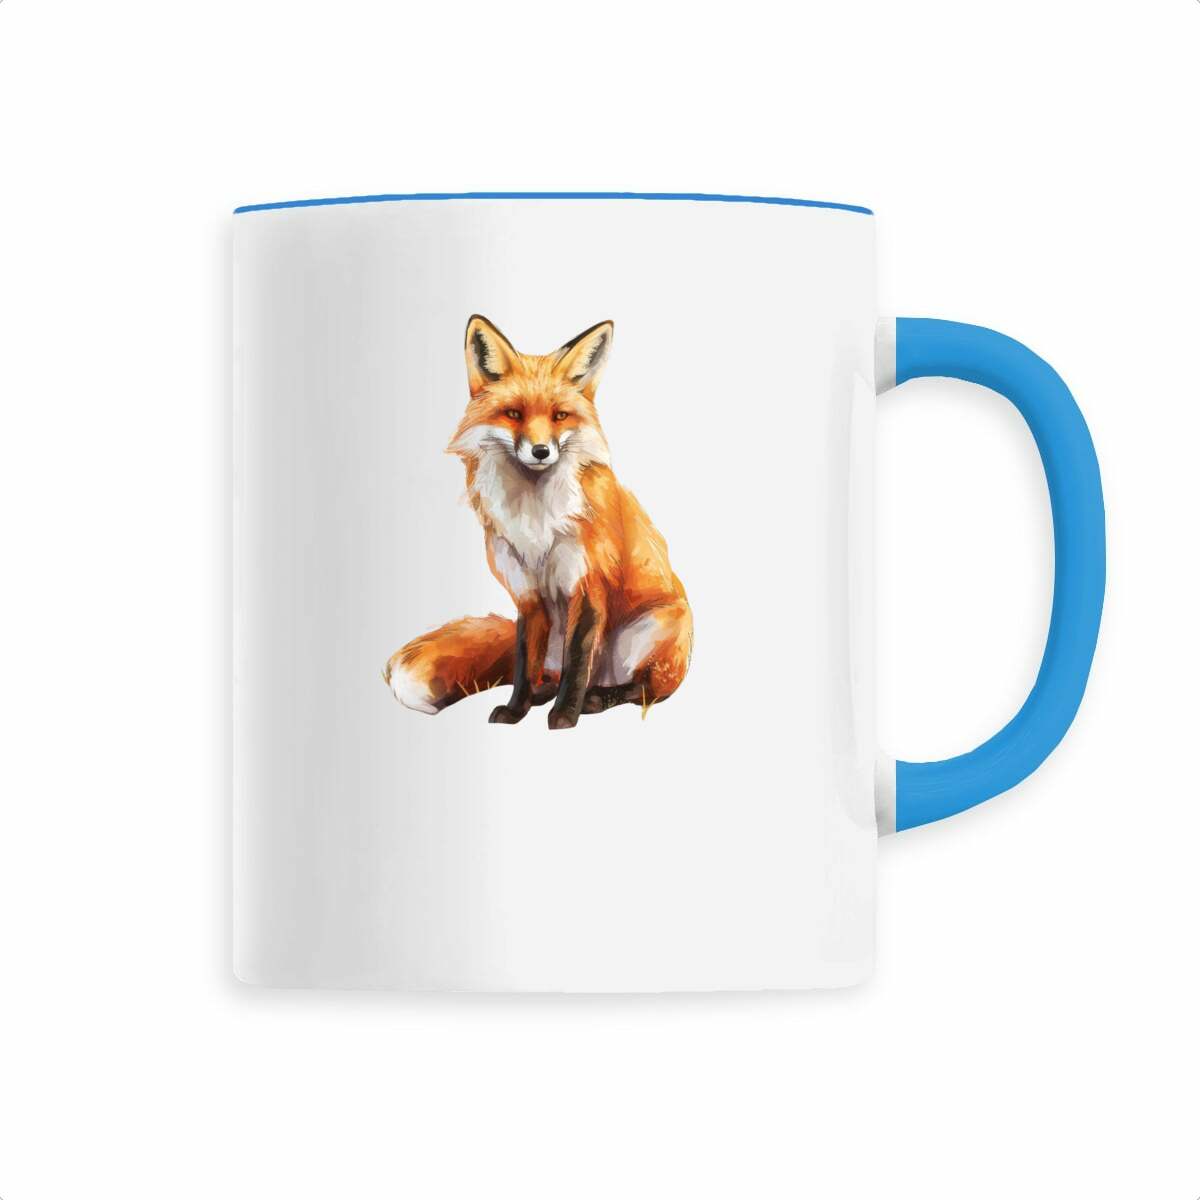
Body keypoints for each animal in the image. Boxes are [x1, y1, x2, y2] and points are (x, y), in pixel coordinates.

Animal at [384, 315, 692, 730]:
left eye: (560, 415)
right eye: (514, 413)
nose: (542, 451)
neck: (534, 519)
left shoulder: (588, 586)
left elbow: (578, 664)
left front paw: (564, 717)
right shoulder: (526, 594)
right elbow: (522, 665)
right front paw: (516, 711)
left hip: (650, 631)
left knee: (641, 690)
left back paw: (596, 699)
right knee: (549, 673)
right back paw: (549, 693)